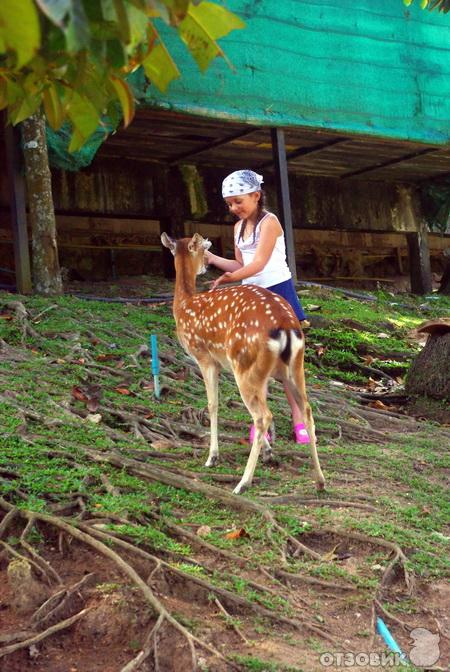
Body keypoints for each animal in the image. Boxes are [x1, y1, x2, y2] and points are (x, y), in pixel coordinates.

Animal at [160, 234, 326, 496]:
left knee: (263, 415)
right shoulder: (227, 366)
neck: (184, 304)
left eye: (204, 248)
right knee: (306, 411)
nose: (207, 264)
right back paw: (319, 480)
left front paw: (212, 457)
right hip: (293, 368)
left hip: (245, 364)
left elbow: (213, 405)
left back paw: (242, 483)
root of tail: (286, 325)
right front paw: (269, 452)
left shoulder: (204, 357)